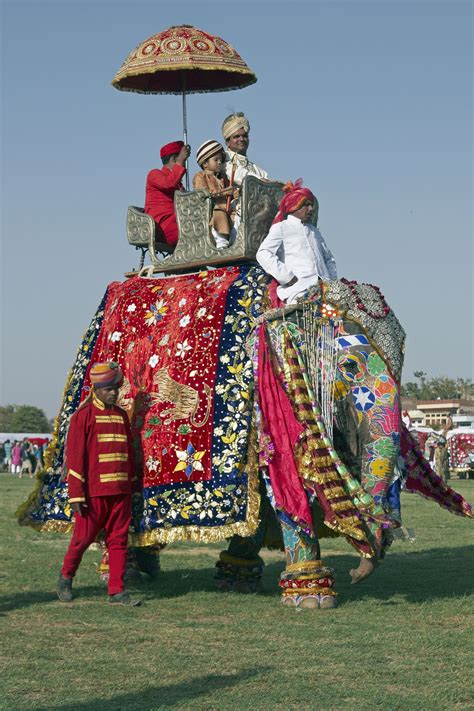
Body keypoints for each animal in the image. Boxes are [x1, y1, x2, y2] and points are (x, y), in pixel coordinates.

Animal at [17, 264, 470, 608]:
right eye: (350, 367)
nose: (360, 571)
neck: (282, 302)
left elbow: (264, 497)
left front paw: (240, 577)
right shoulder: (267, 390)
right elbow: (285, 478)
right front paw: (312, 598)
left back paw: (147, 569)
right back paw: (118, 572)